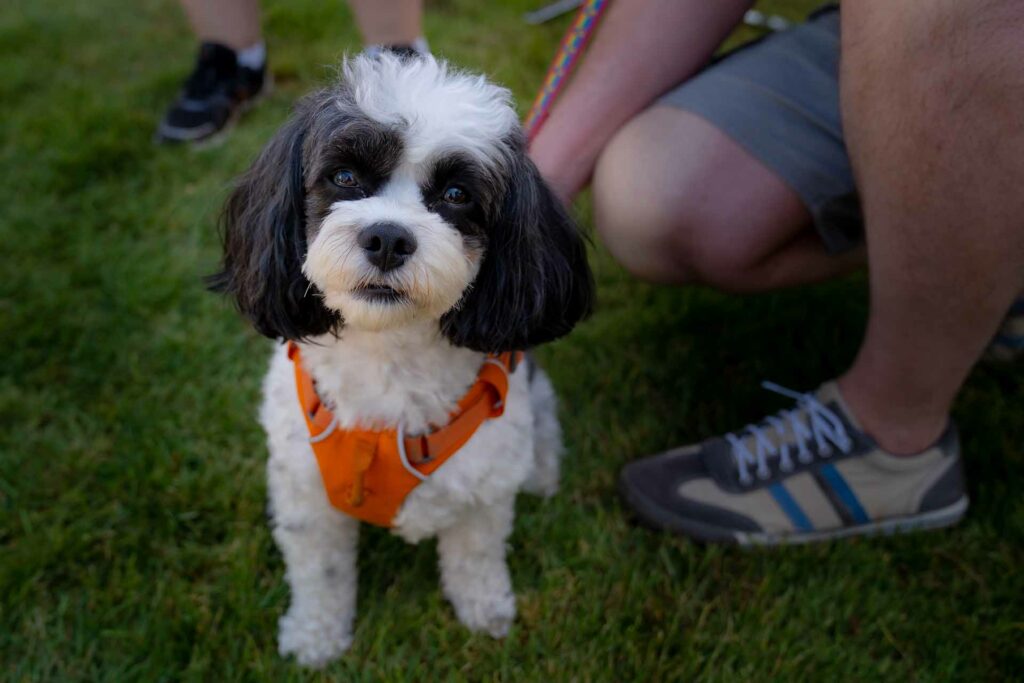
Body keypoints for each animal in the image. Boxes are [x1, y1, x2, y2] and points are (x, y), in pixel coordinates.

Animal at [211, 54, 598, 667]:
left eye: (458, 194)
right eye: (345, 177)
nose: (388, 238)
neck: (390, 353)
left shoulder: (484, 490)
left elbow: (476, 557)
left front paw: (485, 610)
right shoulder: (305, 493)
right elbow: (320, 573)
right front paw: (315, 635)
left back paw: (542, 473)